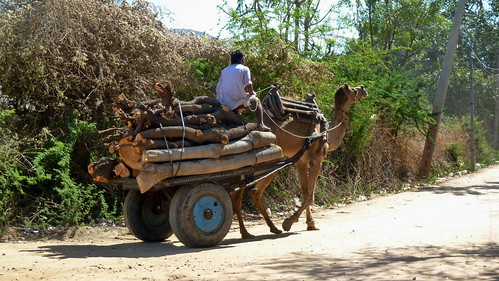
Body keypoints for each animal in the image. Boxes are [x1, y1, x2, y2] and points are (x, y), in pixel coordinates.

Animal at [230, 82, 368, 236]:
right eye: (354, 90)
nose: (363, 88)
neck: (326, 132)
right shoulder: (316, 159)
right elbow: (310, 195)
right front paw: (289, 222)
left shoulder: (301, 162)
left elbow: (305, 192)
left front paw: (310, 224)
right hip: (263, 162)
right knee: (245, 193)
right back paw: (249, 231)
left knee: (247, 193)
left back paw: (267, 229)